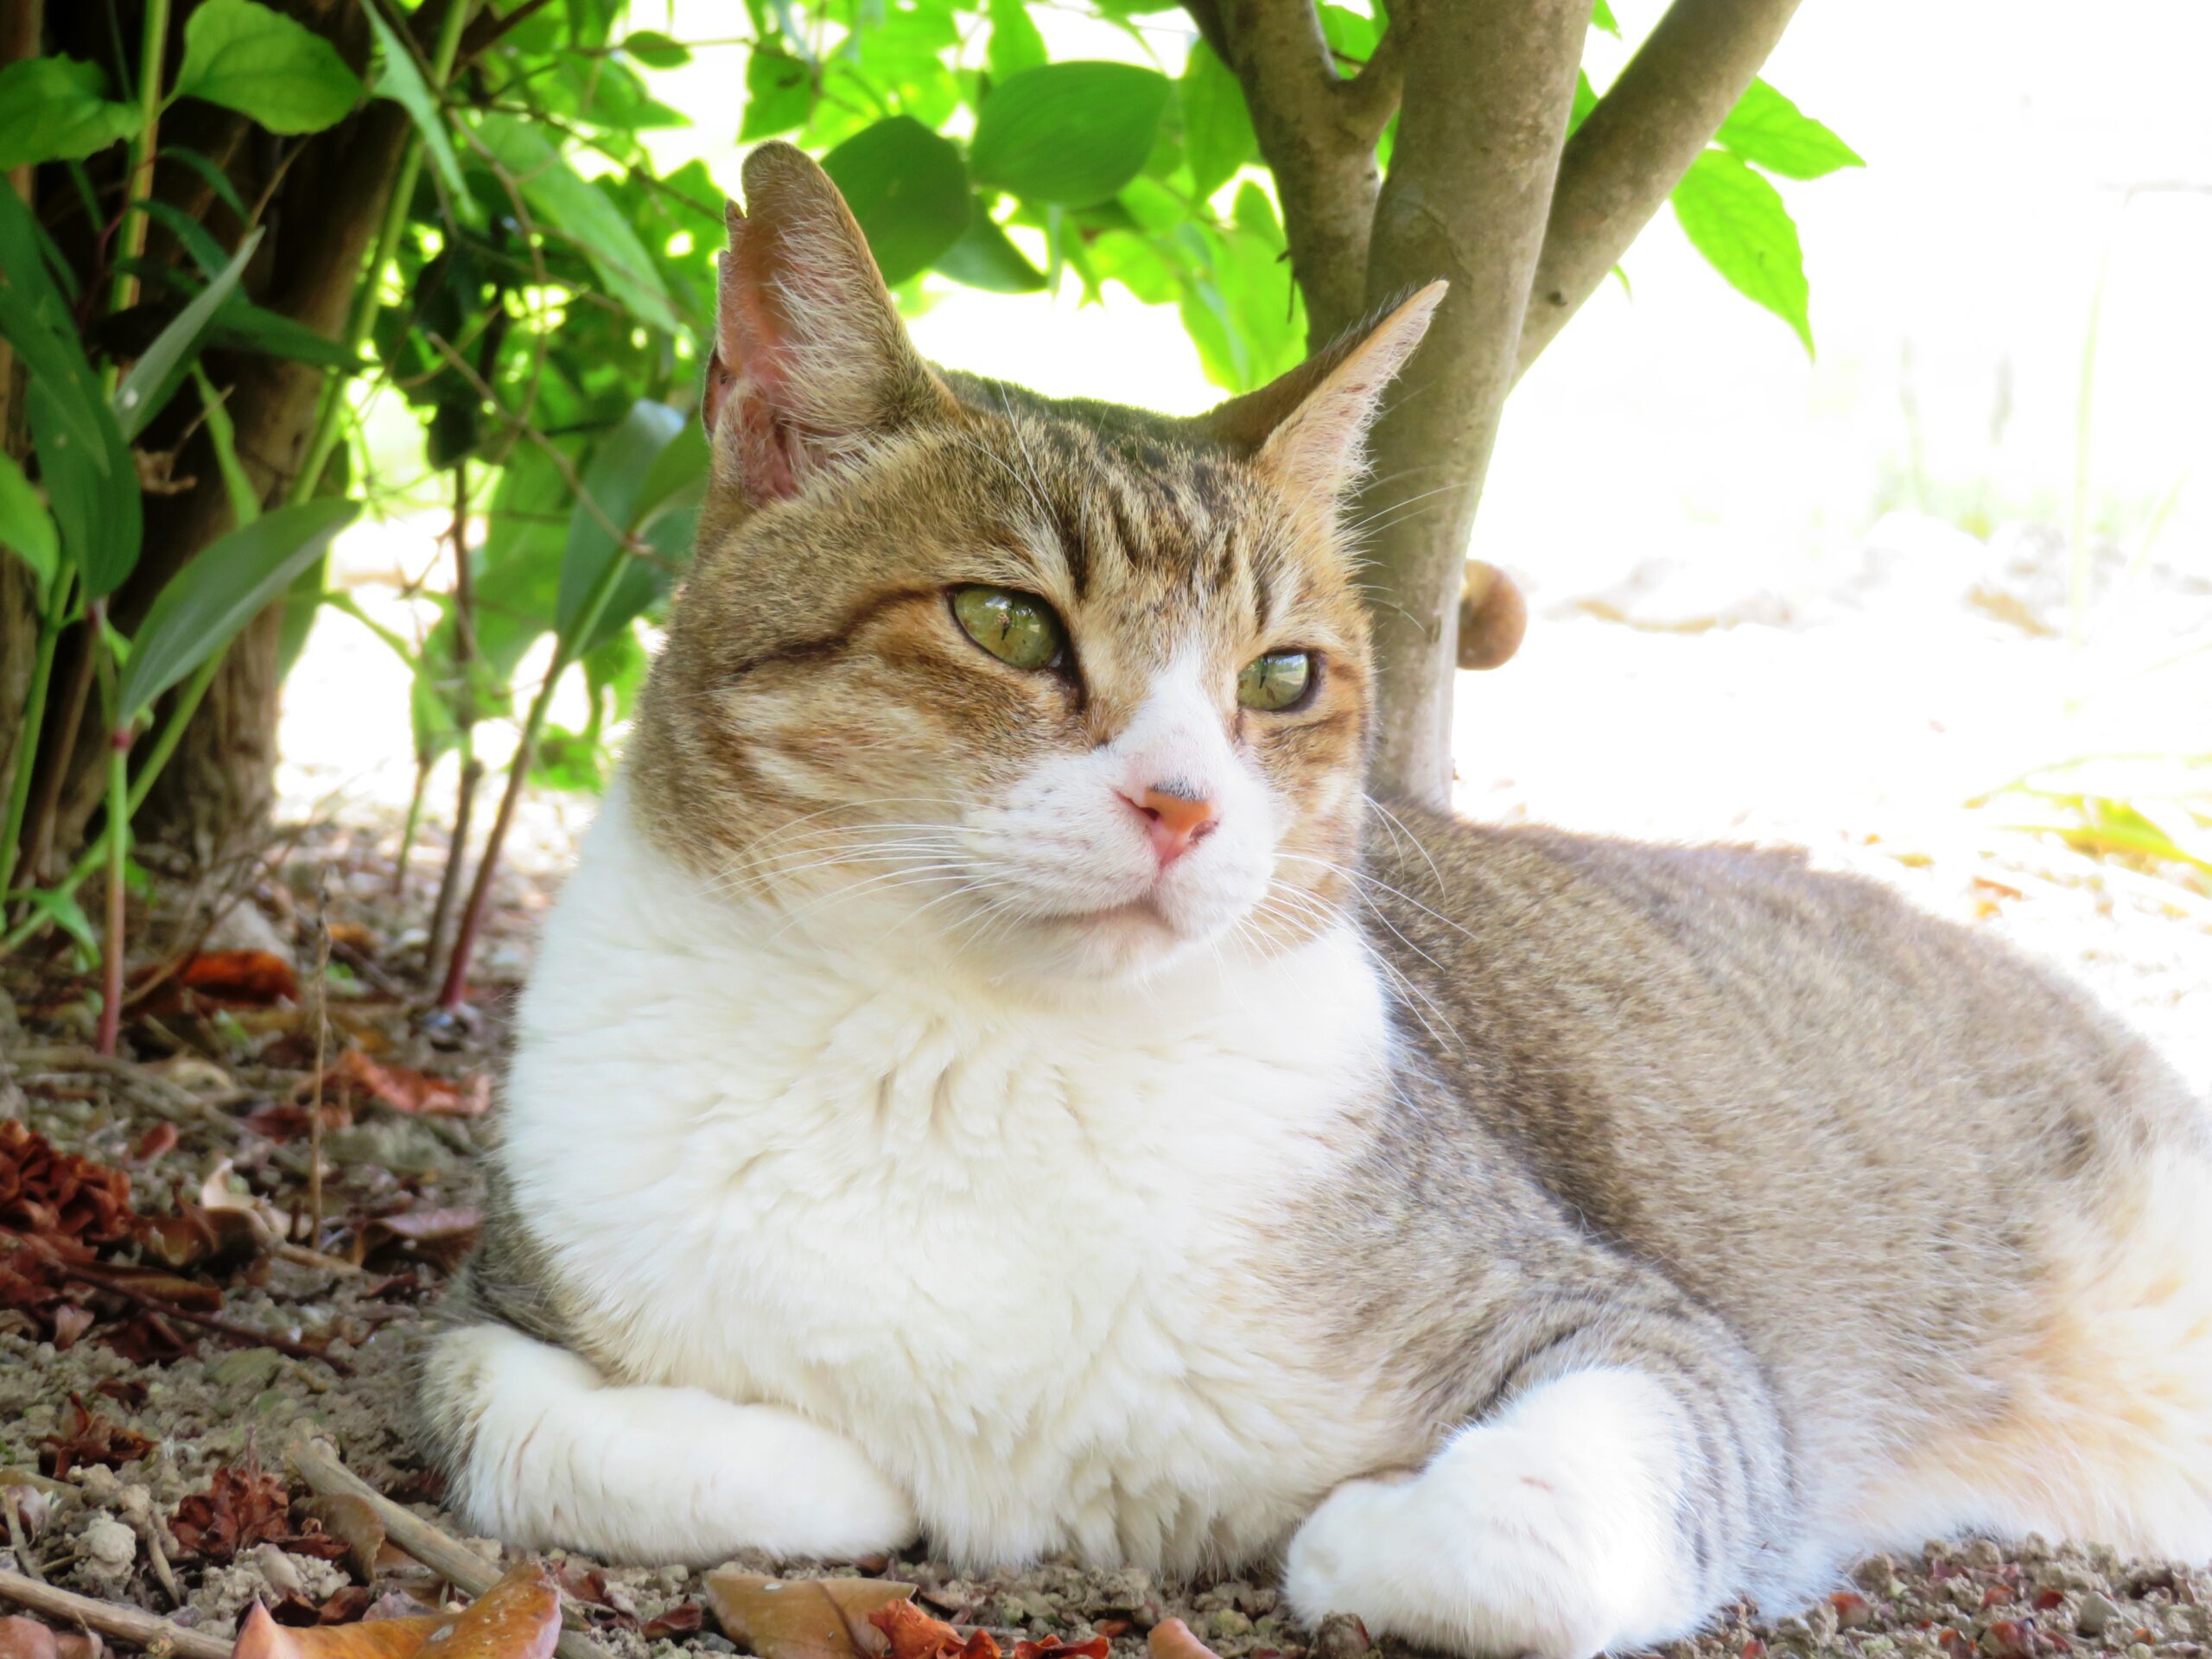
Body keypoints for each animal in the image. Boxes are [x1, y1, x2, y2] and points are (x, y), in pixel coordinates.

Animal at [416, 145, 2212, 1659]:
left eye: (1282, 678)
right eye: (1006, 623)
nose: (1184, 804)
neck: (979, 1048)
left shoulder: (1651, 1339)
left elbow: (1539, 1519)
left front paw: (1344, 1537)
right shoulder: (486, 1313)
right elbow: (547, 1432)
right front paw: (874, 1471)